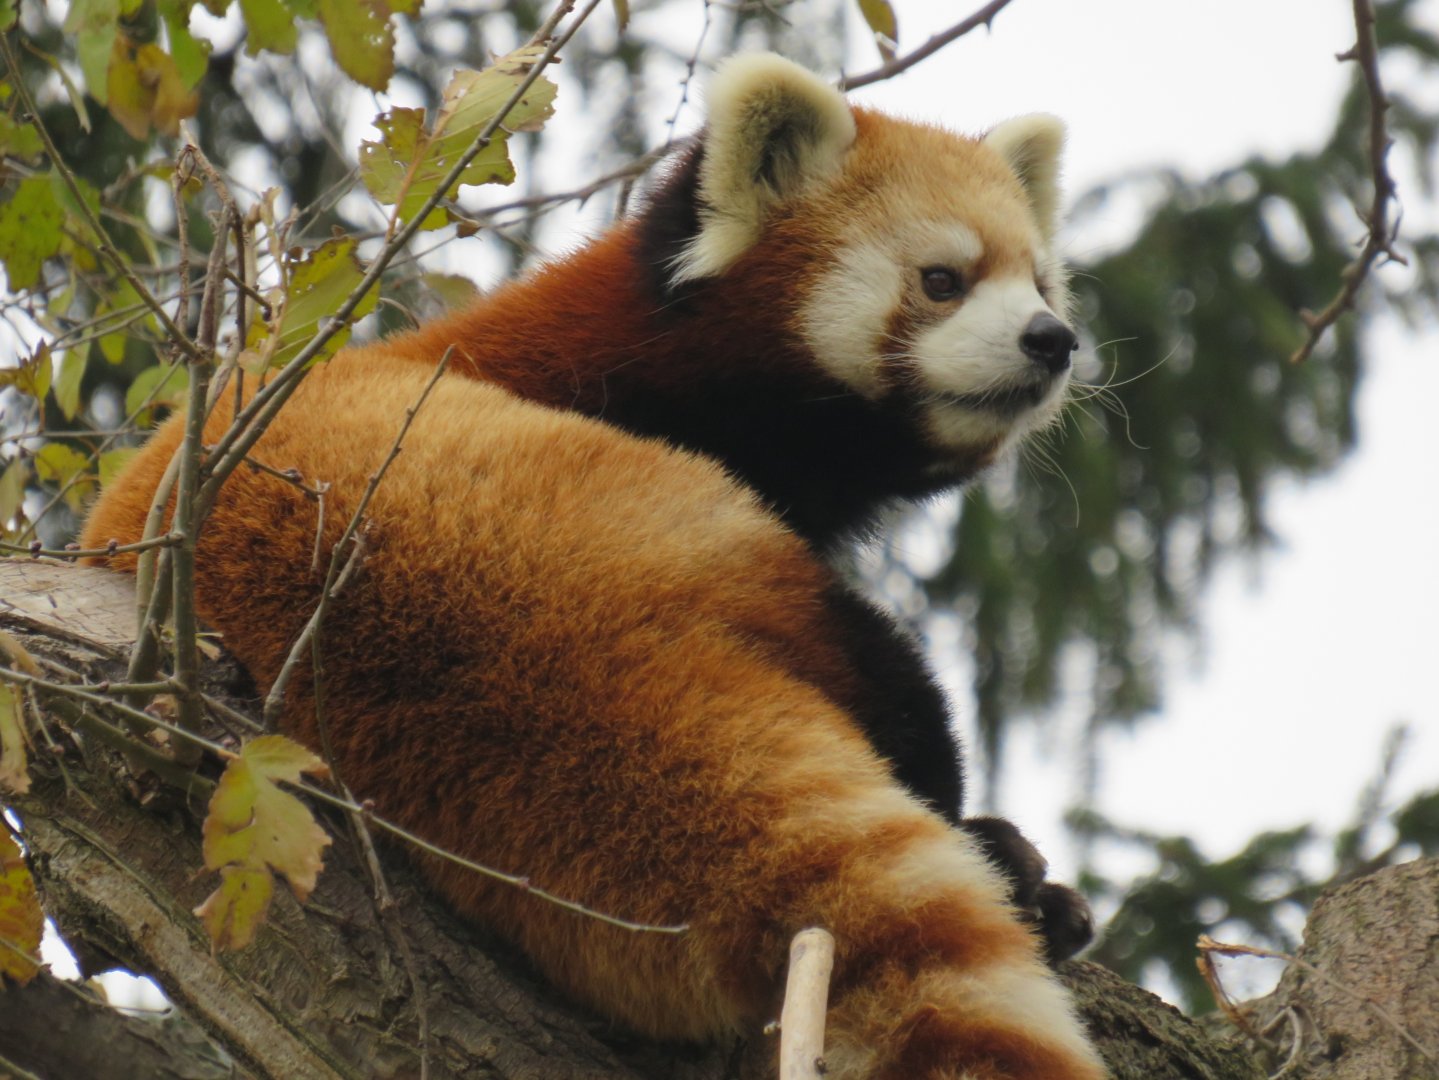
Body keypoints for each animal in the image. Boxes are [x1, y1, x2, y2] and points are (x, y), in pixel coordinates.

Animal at [83, 54, 1106, 1079]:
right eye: (942, 280)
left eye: (1041, 282)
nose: (1051, 341)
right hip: (679, 521)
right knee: (880, 672)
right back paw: (1005, 861)